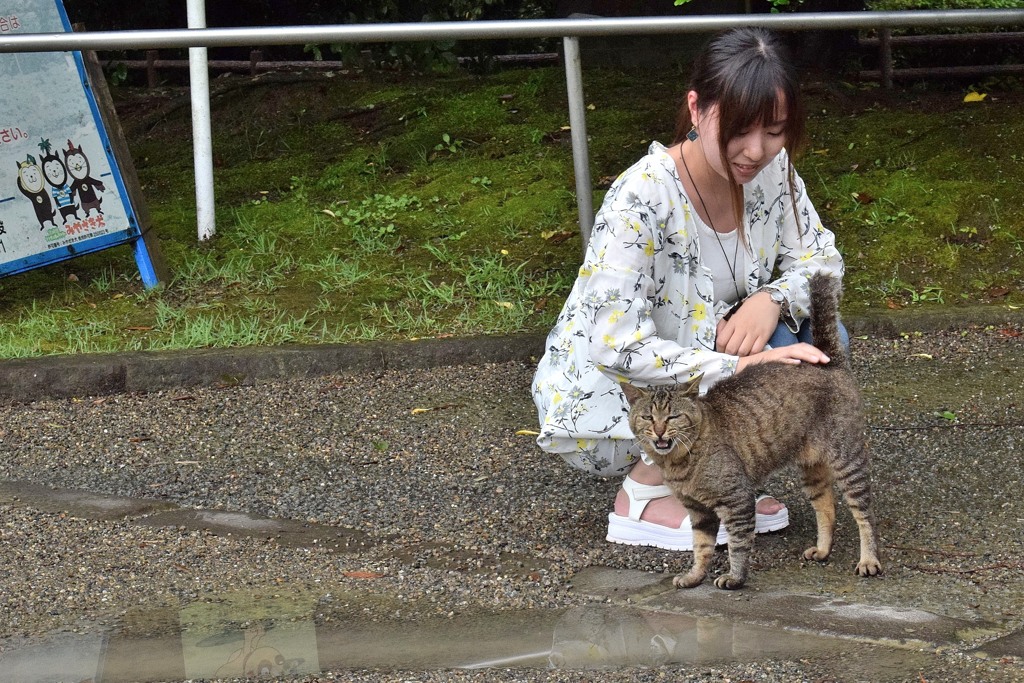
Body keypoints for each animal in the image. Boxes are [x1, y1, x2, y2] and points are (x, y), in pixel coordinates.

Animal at [618, 274, 884, 589]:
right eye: (647, 417)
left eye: (673, 417)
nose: (659, 431)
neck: (678, 463)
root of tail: (829, 362)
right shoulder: (698, 511)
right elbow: (701, 546)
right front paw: (695, 576)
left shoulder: (738, 501)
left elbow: (737, 544)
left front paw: (735, 577)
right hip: (811, 468)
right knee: (827, 507)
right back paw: (822, 549)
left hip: (848, 460)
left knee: (865, 514)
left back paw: (868, 560)